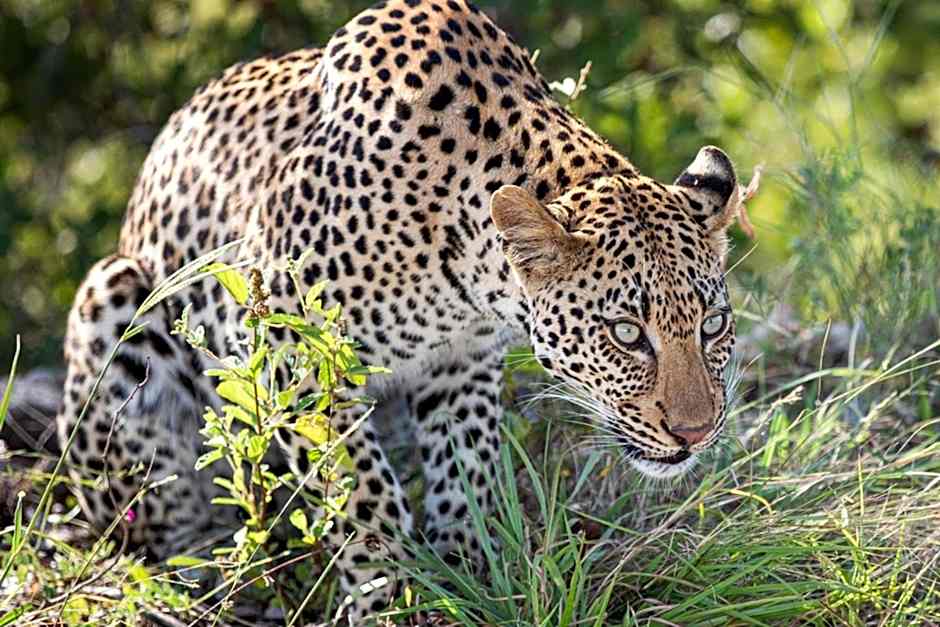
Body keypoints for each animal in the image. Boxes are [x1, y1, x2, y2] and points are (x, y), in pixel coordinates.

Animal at [57, 0, 753, 620]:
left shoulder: (461, 362)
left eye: (714, 325)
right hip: (113, 303)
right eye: (626, 333)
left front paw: (469, 574)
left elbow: (465, 465)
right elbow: (362, 497)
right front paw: (390, 596)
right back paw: (207, 572)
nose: (695, 434)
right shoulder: (295, 356)